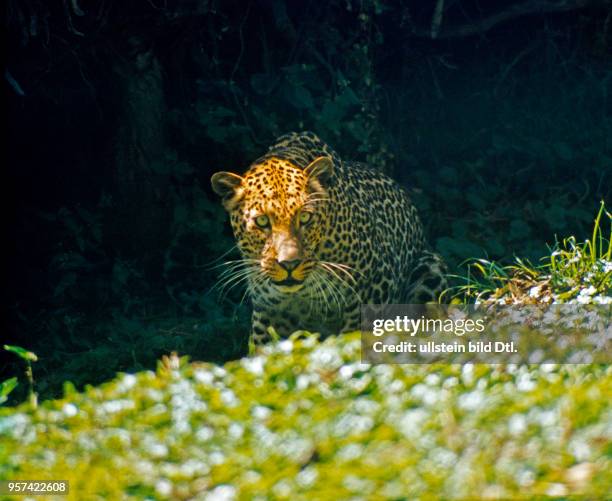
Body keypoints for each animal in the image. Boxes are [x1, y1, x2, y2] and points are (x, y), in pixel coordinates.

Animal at [213, 131, 448, 344]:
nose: (289, 264)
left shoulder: (371, 298)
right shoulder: (267, 313)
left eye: (305, 217)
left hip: (431, 270)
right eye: (262, 221)